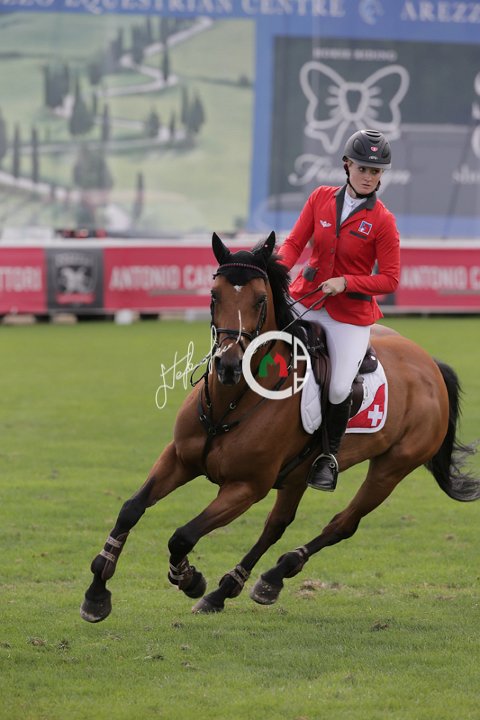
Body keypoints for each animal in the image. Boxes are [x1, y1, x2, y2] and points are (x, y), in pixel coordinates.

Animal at [80, 232, 480, 621]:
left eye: (260, 300)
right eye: (214, 295)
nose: (228, 365)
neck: (231, 401)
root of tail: (430, 365)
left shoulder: (246, 487)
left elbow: (182, 535)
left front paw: (190, 579)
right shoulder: (179, 459)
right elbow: (131, 508)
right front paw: (97, 592)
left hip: (391, 468)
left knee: (341, 524)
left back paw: (270, 575)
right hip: (298, 473)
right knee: (278, 524)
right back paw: (236, 589)